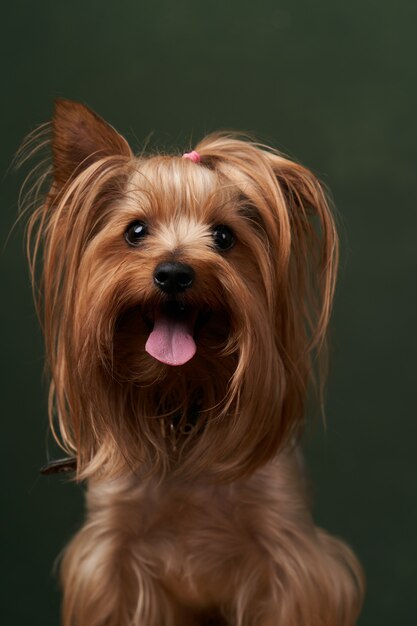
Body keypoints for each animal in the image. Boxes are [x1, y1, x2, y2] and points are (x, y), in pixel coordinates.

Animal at [22, 100, 362, 624]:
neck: (181, 404)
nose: (174, 273)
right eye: (135, 231)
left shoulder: (290, 559)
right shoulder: (111, 559)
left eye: (223, 236)